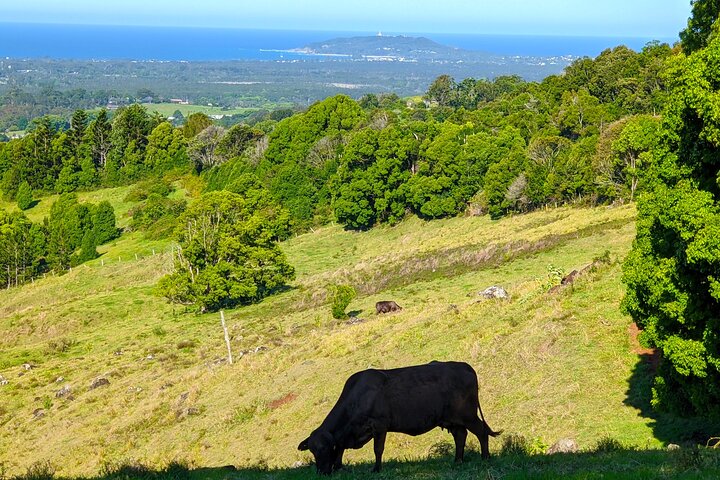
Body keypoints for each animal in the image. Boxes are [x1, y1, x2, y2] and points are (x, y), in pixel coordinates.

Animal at [298, 362, 500, 474]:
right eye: (313, 450)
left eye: (324, 449)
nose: (321, 472)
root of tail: (464, 365)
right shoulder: (346, 435)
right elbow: (340, 449)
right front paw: (339, 467)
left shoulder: (379, 426)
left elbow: (378, 450)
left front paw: (376, 469)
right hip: (452, 420)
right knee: (460, 436)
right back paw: (457, 460)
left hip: (468, 415)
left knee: (481, 432)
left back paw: (485, 457)